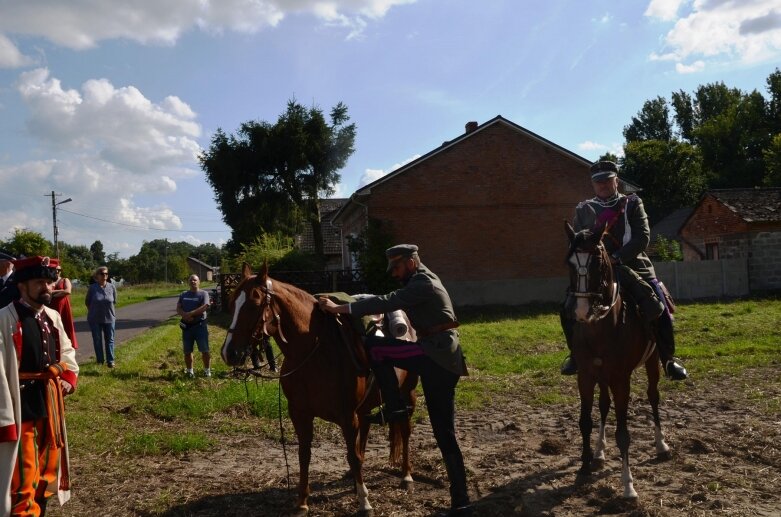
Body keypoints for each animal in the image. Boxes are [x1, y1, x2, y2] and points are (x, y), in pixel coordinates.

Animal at [219, 264, 418, 512]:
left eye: (254, 303)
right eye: (231, 304)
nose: (229, 352)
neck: (312, 351)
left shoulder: (347, 416)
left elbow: (352, 456)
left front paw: (364, 502)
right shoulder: (300, 413)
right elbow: (304, 454)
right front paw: (302, 502)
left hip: (407, 394)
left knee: (405, 430)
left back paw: (406, 476)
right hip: (364, 408)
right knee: (365, 433)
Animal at [560, 223, 672, 500]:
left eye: (598, 261)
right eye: (569, 262)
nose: (580, 311)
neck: (600, 327)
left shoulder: (622, 380)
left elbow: (623, 433)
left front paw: (628, 485)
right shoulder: (586, 376)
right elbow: (585, 421)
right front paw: (584, 467)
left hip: (652, 362)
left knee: (653, 397)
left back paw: (661, 444)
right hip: (603, 377)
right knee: (603, 405)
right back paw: (599, 452)